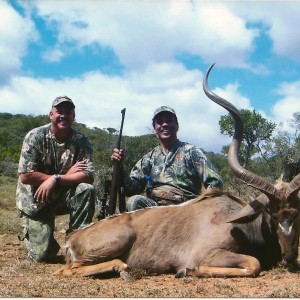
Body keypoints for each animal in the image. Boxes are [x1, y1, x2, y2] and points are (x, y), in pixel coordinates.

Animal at [54, 64, 300, 278]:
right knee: (69, 269)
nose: (289, 257)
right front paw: (187, 270)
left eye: (296, 212)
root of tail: (72, 239)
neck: (237, 221)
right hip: (119, 239)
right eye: (271, 212)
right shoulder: (208, 254)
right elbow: (253, 264)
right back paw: (123, 268)